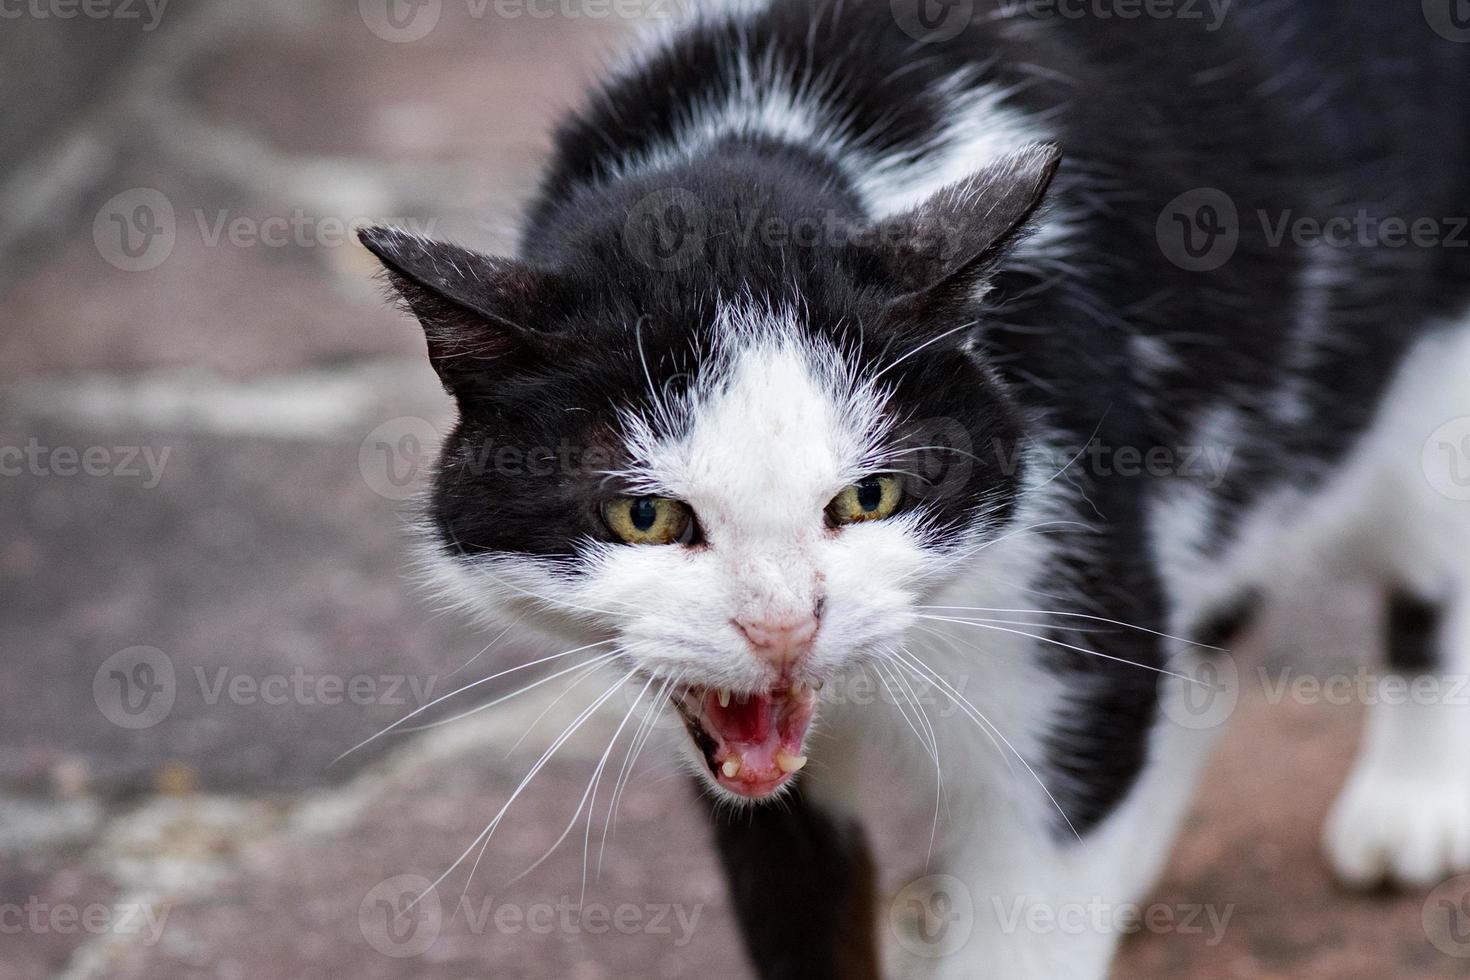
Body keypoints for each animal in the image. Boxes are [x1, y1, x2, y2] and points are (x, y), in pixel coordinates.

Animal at [361, 3, 1470, 975]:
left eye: (870, 498)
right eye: (646, 514)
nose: (782, 627)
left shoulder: (1061, 558)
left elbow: (1057, 825)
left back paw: (1408, 802)